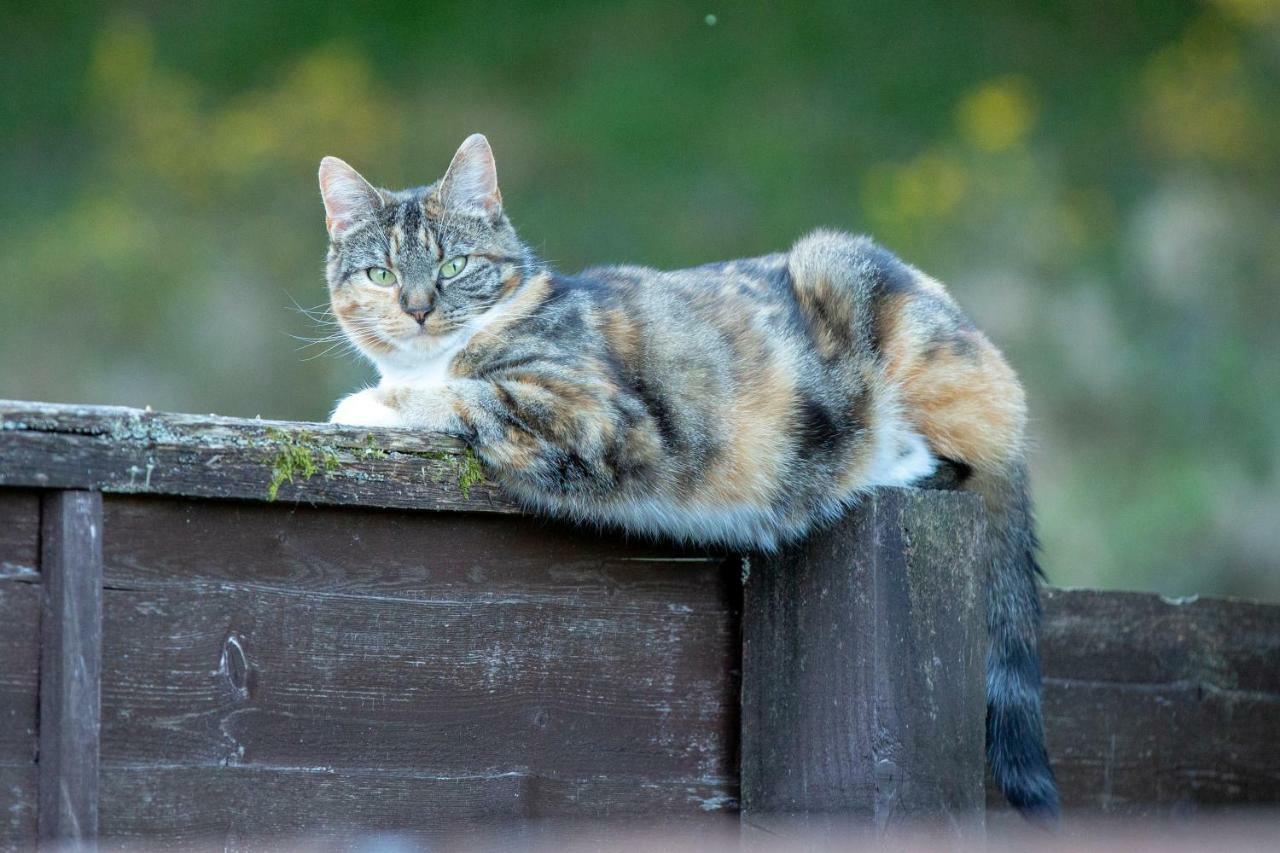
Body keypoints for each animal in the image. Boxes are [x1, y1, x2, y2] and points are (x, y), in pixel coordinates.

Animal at [314, 133, 1054, 819]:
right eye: (379, 273)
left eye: (455, 264)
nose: (416, 308)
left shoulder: (599, 414)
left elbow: (469, 394)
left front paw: (368, 404)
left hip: (848, 279)